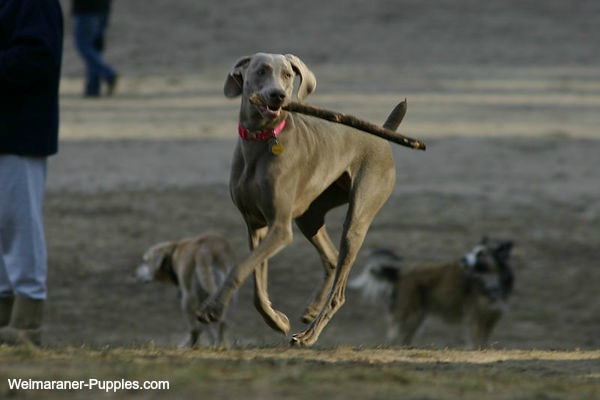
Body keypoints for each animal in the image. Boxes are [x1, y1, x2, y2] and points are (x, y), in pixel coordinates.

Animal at [199, 53, 406, 346]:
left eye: (287, 74)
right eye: (261, 71)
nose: (278, 95)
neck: (261, 140)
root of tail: (383, 132)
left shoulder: (279, 228)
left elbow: (240, 268)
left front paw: (212, 309)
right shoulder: (256, 225)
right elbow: (257, 284)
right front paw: (276, 320)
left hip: (358, 217)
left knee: (339, 291)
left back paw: (308, 336)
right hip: (309, 215)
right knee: (331, 257)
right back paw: (310, 310)